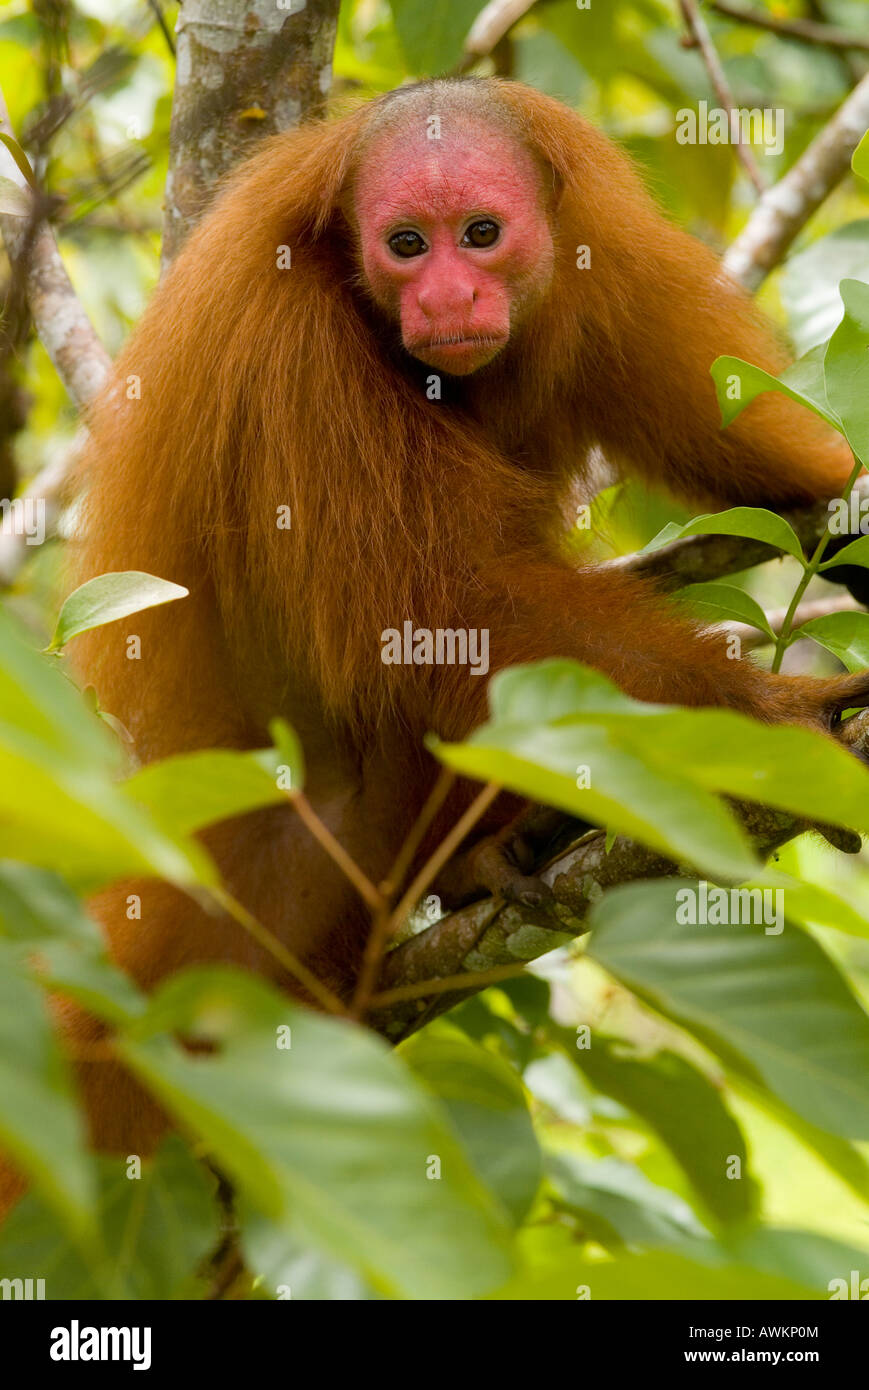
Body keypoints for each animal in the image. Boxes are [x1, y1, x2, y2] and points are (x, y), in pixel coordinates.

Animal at [6, 78, 867, 1184]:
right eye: (406, 244)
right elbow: (439, 619)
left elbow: (777, 477)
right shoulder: (291, 339)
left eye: (481, 234)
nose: (447, 298)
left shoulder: (610, 268)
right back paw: (478, 860)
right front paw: (761, 717)